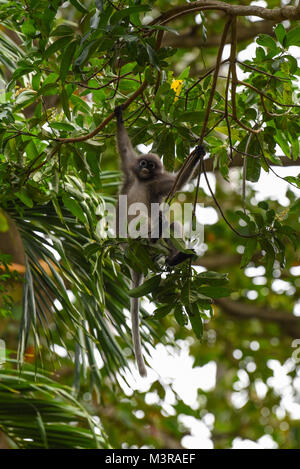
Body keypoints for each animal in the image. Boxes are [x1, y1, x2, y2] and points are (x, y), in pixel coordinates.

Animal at [113, 106, 205, 376]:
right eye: (143, 162)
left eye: (151, 165)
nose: (144, 166)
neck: (143, 180)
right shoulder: (129, 170)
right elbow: (124, 148)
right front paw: (119, 115)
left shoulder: (157, 183)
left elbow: (177, 182)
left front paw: (198, 154)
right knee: (153, 221)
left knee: (167, 223)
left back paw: (176, 257)